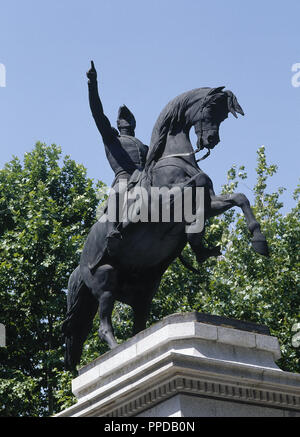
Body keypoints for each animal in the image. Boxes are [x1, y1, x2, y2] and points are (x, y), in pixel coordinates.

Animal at [62, 84, 268, 368]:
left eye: (223, 116)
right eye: (209, 109)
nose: (211, 140)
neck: (175, 160)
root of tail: (78, 267)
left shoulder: (209, 203)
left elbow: (239, 198)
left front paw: (258, 241)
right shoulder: (160, 204)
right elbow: (199, 183)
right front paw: (196, 238)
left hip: (145, 289)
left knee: (138, 326)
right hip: (105, 277)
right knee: (104, 326)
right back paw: (117, 350)